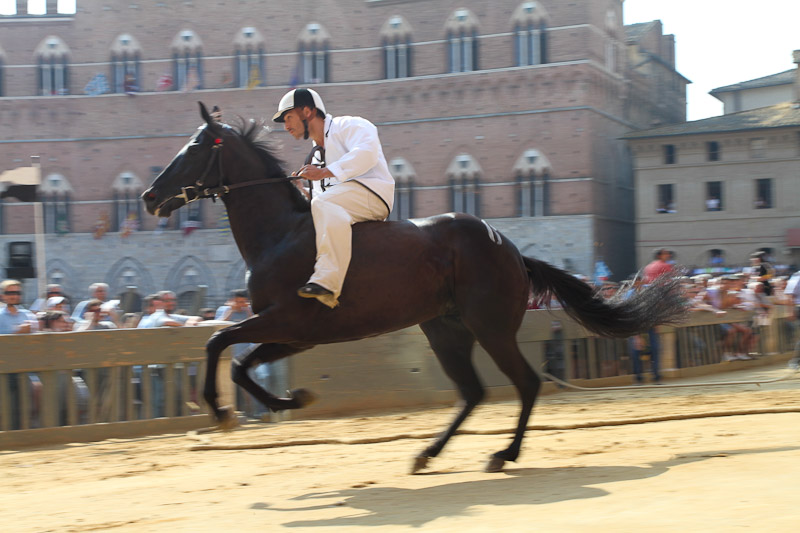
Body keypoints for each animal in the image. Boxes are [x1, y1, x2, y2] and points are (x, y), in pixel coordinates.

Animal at [141, 102, 684, 472]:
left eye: (193, 149)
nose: (148, 196)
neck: (281, 233)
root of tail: (508, 246)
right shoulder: (294, 333)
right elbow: (239, 363)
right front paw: (290, 400)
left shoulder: (286, 320)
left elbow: (219, 344)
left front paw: (223, 412)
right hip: (445, 329)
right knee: (472, 391)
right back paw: (427, 453)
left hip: (490, 327)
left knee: (525, 383)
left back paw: (504, 453)